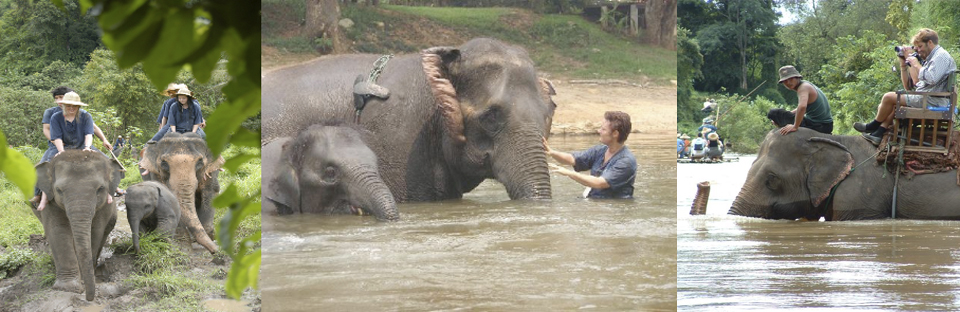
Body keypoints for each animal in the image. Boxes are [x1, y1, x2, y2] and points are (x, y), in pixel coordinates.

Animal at [34, 150, 124, 302]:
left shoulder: (105, 205)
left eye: (100, 188)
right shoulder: (49, 199)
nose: (88, 298)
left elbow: (95, 230)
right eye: (59, 190)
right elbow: (58, 229)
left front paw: (82, 281)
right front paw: (68, 288)